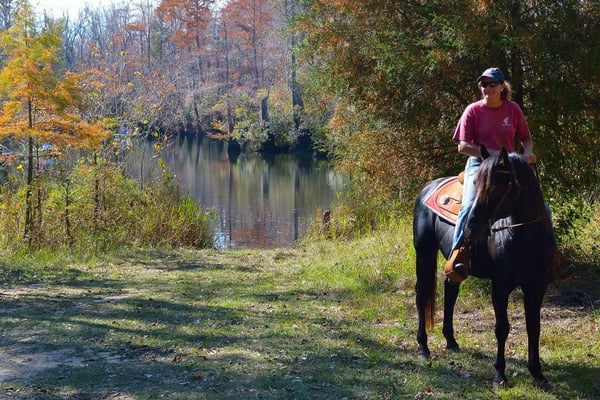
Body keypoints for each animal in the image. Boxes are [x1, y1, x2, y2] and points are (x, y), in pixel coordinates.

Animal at [412, 148, 552, 388]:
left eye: (498, 185)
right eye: (476, 183)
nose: (471, 228)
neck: (524, 236)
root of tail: (427, 187)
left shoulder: (536, 286)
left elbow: (534, 327)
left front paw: (537, 373)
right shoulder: (500, 286)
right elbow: (502, 328)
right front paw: (500, 374)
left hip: (453, 266)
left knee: (450, 290)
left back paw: (451, 340)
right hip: (424, 253)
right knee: (422, 296)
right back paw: (423, 347)